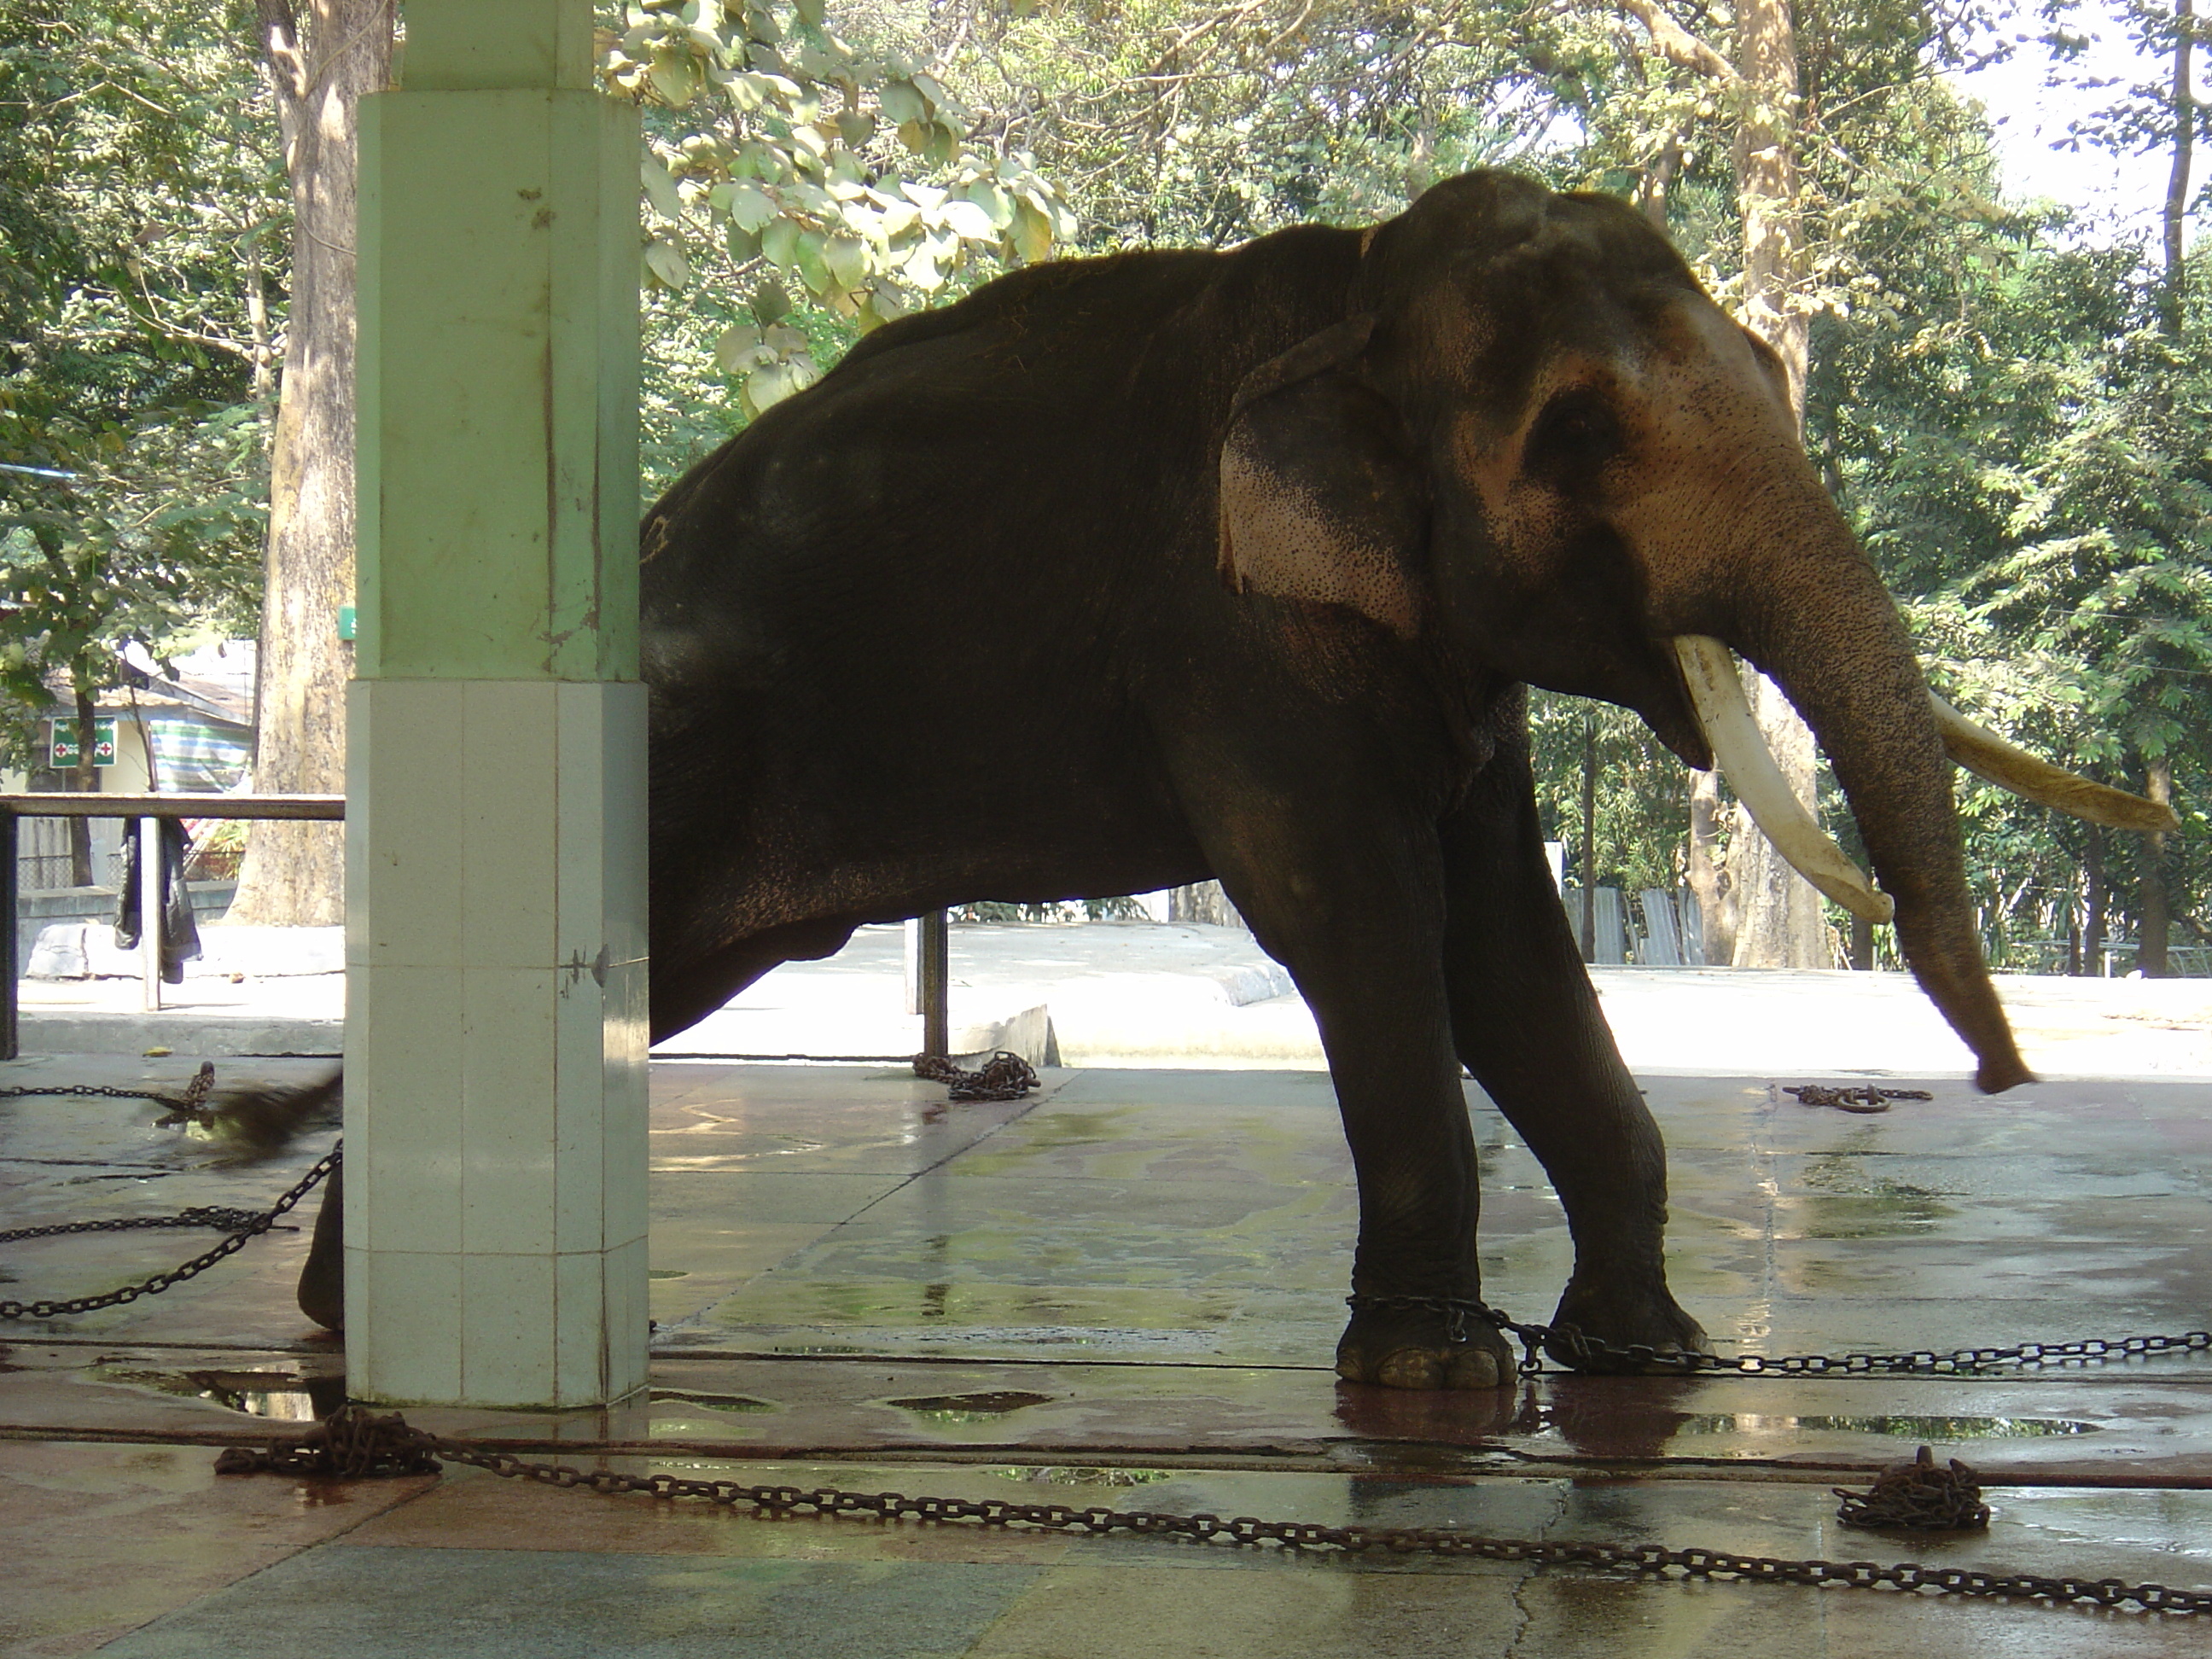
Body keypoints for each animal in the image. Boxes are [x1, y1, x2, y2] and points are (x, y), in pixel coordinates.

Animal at [289, 169, 2158, 1388]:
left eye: (1773, 376)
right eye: (1575, 437)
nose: (2001, 1080)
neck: (1355, 289)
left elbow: (1505, 937)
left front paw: (1647, 1358)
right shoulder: (1233, 627)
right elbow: (1357, 915)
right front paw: (1429, 1381)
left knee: (662, 979)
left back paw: (338, 1312)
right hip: (677, 756)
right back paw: (368, 1322)